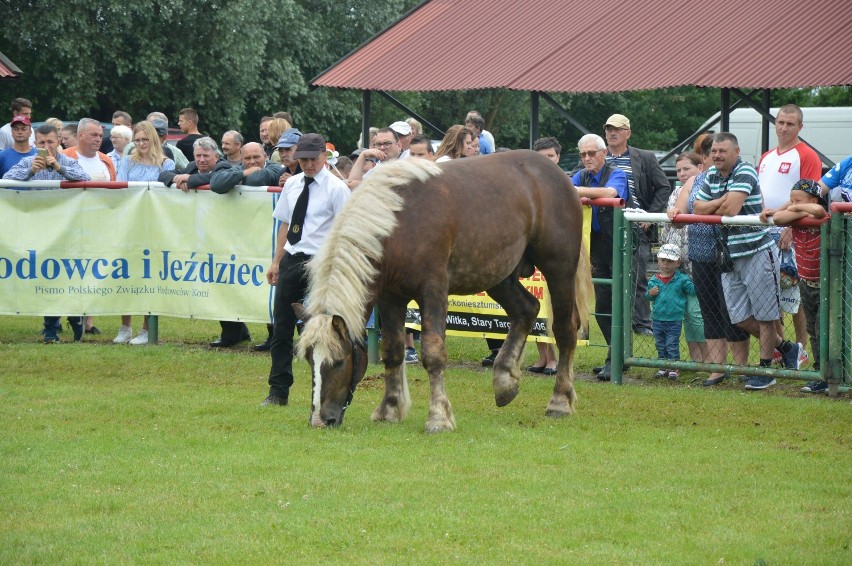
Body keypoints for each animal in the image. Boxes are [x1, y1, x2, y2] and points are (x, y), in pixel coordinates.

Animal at [296, 152, 596, 434]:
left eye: (337, 361)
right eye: (310, 360)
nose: (320, 420)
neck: (398, 221)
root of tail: (557, 173)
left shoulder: (433, 291)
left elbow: (433, 354)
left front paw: (438, 418)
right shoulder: (390, 298)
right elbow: (392, 351)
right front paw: (389, 409)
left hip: (559, 268)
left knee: (564, 331)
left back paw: (559, 401)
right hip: (499, 276)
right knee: (527, 309)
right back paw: (504, 381)